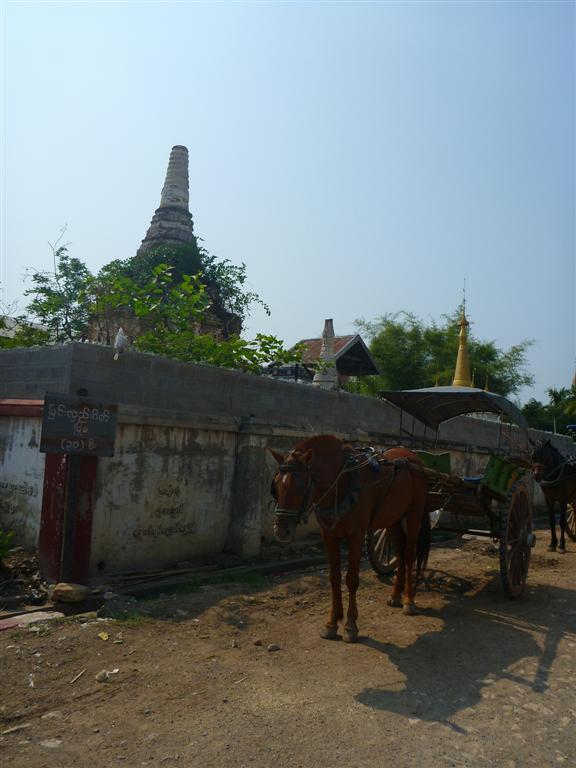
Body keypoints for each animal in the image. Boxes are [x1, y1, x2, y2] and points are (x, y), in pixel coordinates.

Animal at [270, 438, 432, 640]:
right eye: (276, 485)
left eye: (299, 486)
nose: (281, 531)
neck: (343, 482)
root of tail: (414, 457)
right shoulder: (329, 536)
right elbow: (334, 577)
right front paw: (332, 623)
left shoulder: (356, 535)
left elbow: (352, 579)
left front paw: (351, 625)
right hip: (393, 517)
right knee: (401, 551)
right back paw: (395, 595)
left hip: (414, 513)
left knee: (409, 553)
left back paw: (409, 600)